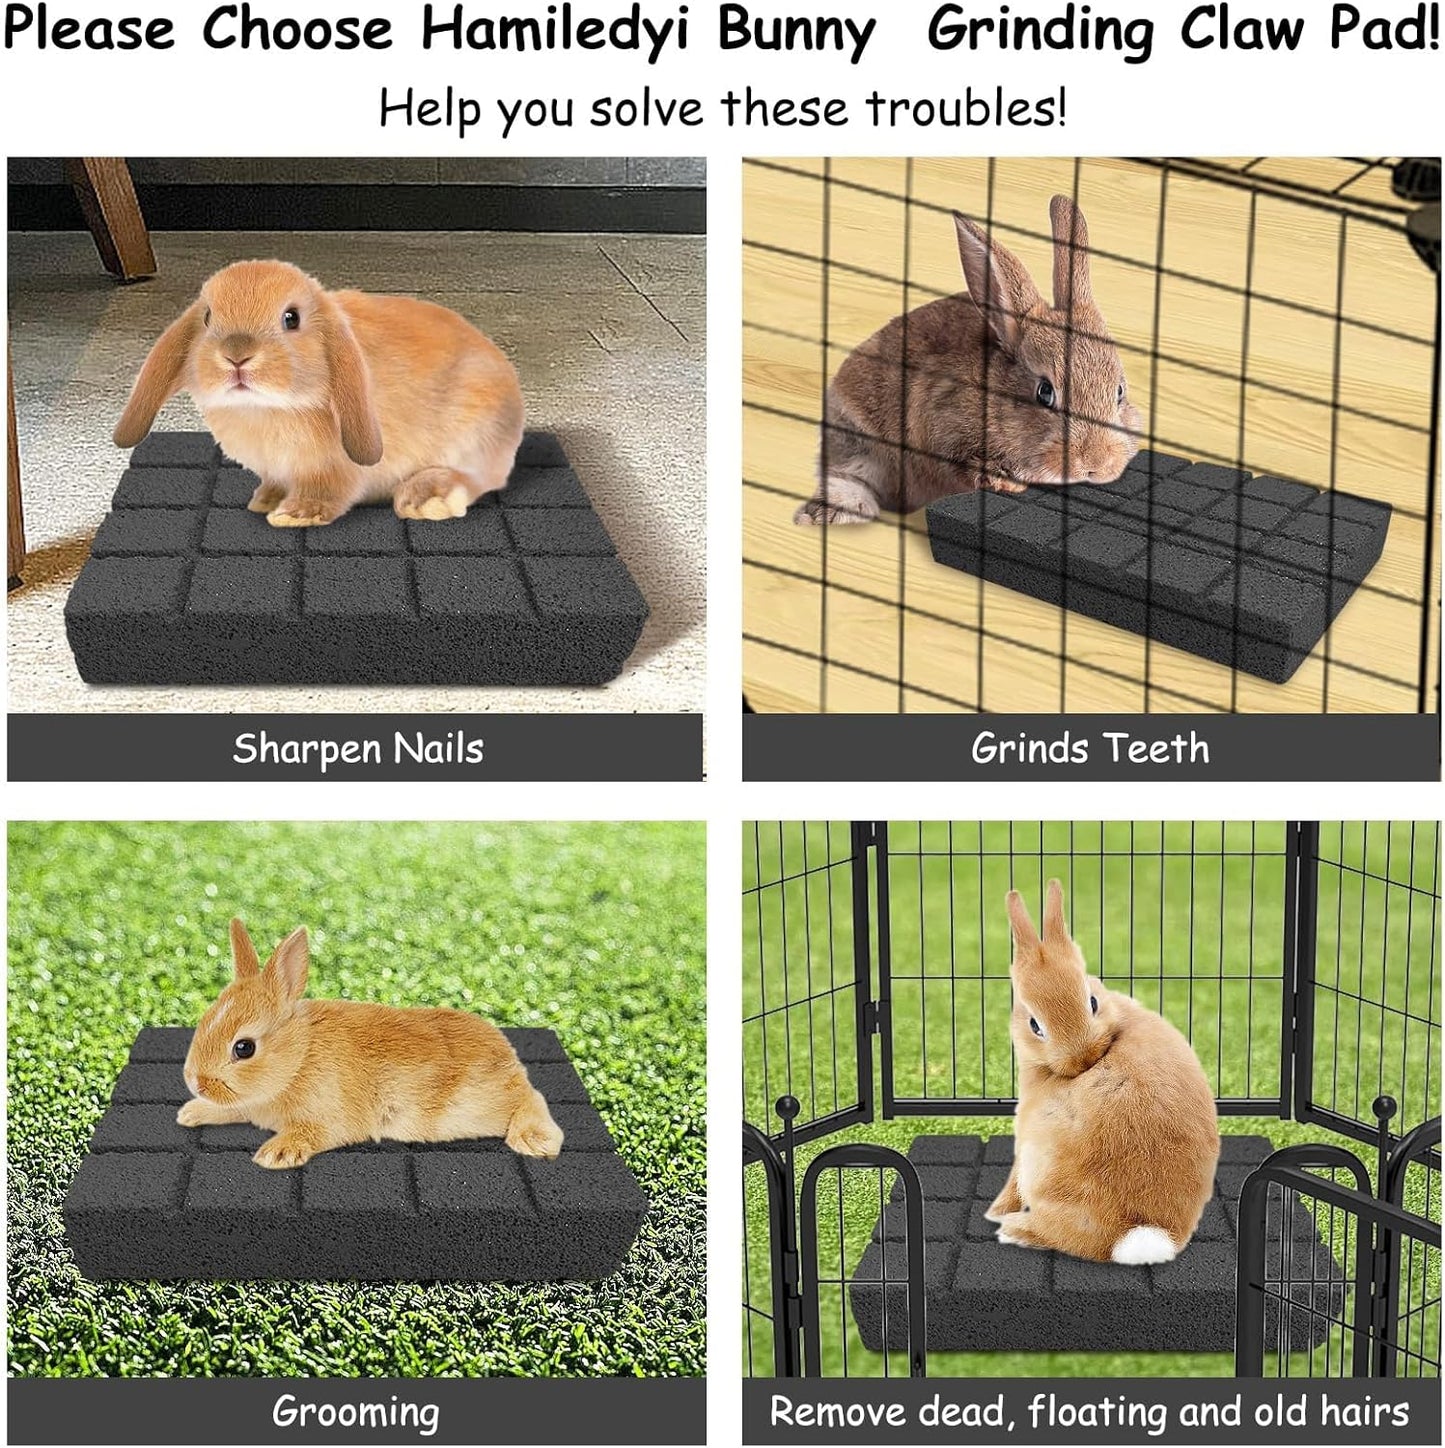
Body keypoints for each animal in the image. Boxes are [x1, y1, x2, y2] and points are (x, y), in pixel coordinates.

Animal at [114, 259, 524, 527]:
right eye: (207, 317)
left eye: (291, 318)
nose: (236, 355)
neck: (265, 408)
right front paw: (264, 501)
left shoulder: (334, 469)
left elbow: (328, 490)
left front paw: (293, 515)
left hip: (475, 429)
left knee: (480, 478)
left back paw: (426, 498)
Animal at [177, 919, 564, 1170]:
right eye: (206, 1018)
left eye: (244, 1048)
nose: (196, 1082)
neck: (299, 1057)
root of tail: (509, 1058)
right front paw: (192, 1113)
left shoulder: (330, 1118)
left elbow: (312, 1132)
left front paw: (276, 1153)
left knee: (531, 1098)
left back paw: (534, 1140)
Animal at [985, 880, 1219, 1265]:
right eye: (1035, 1024)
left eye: (1091, 1002)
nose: (1082, 1058)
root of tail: (1141, 1234)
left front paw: (994, 1212)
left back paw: (1014, 1230)